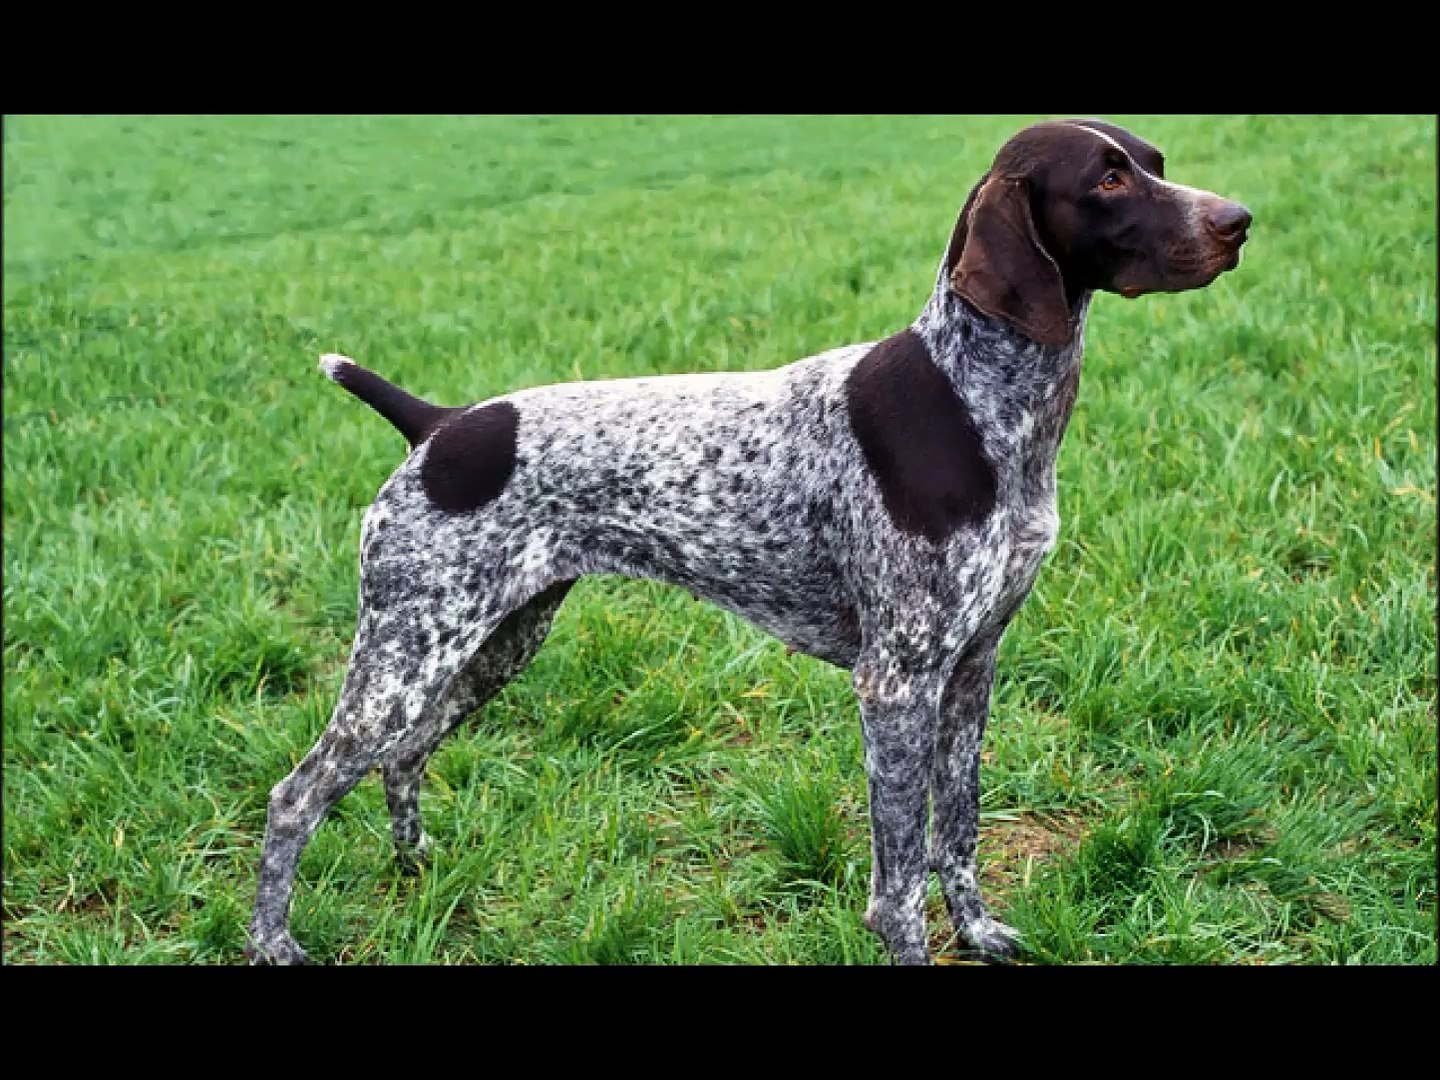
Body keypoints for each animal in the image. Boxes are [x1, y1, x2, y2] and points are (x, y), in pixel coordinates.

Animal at [244, 118, 1249, 961]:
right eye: (1108, 179)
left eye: (1154, 161)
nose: (1239, 220)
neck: (981, 404)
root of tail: (440, 425)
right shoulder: (897, 683)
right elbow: (899, 883)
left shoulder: (973, 666)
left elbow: (958, 832)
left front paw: (980, 931)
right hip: (405, 654)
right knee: (298, 795)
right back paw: (274, 943)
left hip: (491, 642)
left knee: (405, 754)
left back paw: (417, 867)